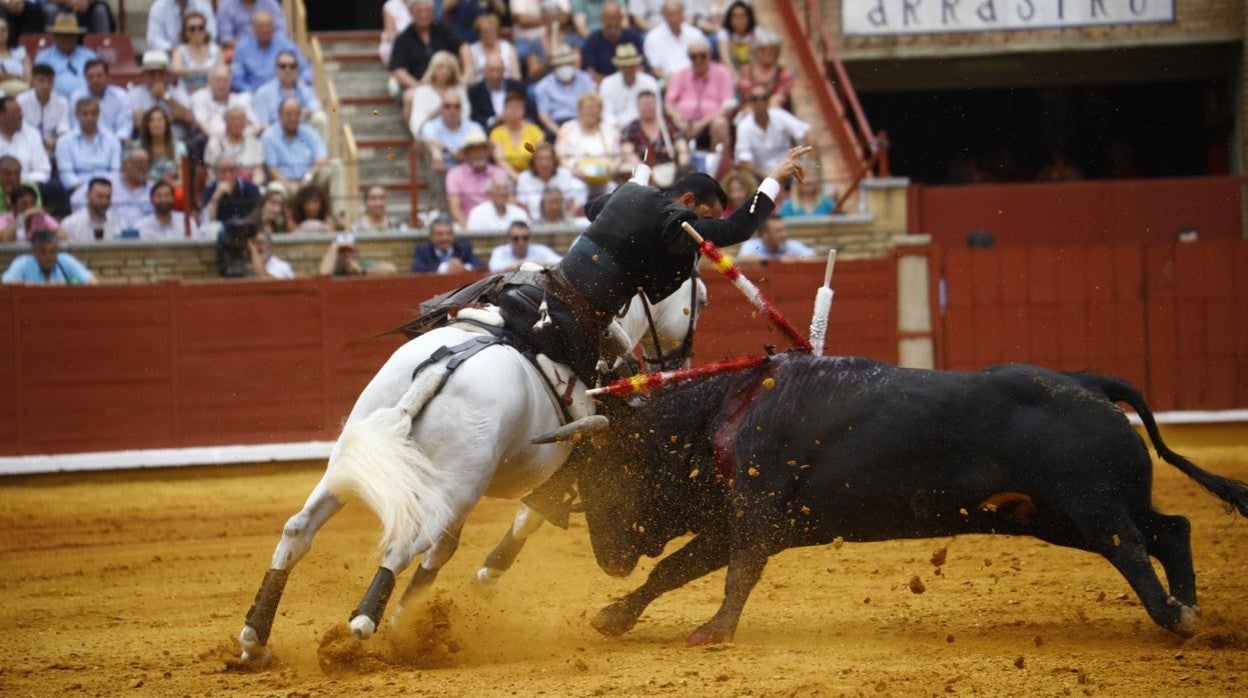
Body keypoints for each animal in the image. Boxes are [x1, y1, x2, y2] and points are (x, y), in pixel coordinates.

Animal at [238, 275, 708, 664]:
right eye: (699, 300)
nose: (678, 365)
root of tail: (439, 369)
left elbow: (446, 549)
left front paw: (412, 616)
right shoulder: (568, 468)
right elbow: (527, 518)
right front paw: (482, 578)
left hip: (363, 461)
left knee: (299, 529)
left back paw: (255, 639)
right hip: (449, 488)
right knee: (401, 545)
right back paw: (363, 621)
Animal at [571, 352, 1248, 649]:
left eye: (604, 478)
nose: (603, 558)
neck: (725, 413)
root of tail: (1088, 382)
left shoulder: (754, 517)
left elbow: (737, 574)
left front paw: (714, 631)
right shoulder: (734, 522)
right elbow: (673, 568)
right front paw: (615, 616)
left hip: (1091, 506)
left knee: (1133, 548)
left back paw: (1174, 616)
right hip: (1059, 517)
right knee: (1172, 528)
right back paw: (1188, 611)